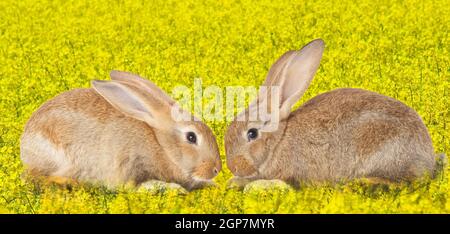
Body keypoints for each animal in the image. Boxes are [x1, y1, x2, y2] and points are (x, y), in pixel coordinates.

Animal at [20, 70, 222, 191]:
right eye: (191, 137)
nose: (216, 170)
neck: (161, 146)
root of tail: (25, 143)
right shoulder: (129, 165)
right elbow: (137, 186)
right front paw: (172, 188)